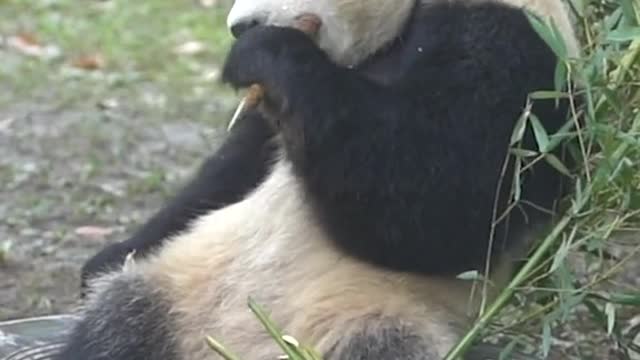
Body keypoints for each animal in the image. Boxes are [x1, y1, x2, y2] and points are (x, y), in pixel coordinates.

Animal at [57, 0, 584, 358]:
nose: (239, 27)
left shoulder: (521, 48)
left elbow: (444, 196)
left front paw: (264, 51)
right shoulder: (274, 122)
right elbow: (230, 172)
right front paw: (108, 257)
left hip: (371, 319)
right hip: (177, 293)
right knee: (115, 330)